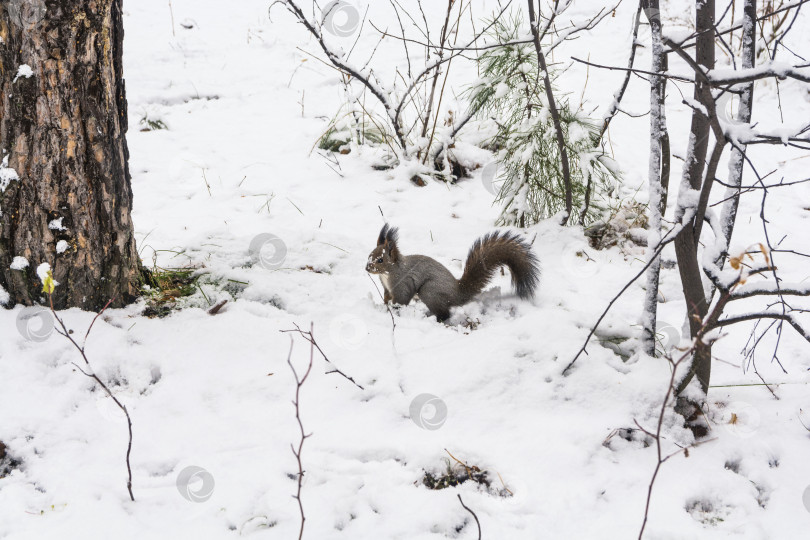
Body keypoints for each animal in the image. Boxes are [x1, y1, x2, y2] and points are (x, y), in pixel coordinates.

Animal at [364, 224, 540, 320]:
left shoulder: (402, 283)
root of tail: (458, 293)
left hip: (429, 291)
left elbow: (401, 299)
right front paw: (384, 306)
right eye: (369, 255)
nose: (367, 268)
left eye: (380, 260)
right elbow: (386, 297)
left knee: (444, 313)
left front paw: (395, 311)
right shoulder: (387, 288)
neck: (387, 274)